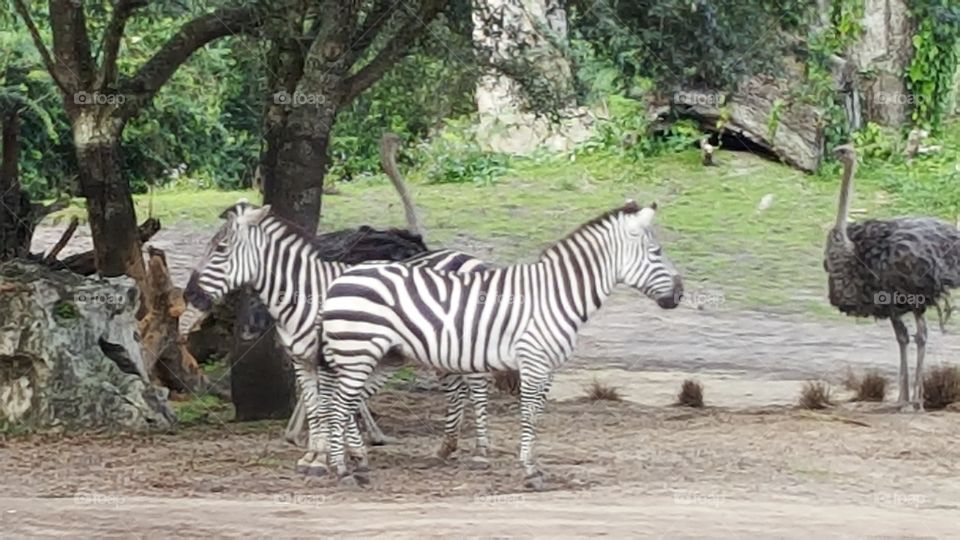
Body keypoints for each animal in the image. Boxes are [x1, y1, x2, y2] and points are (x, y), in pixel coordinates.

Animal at [176, 201, 498, 476]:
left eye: (221, 248)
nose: (189, 295)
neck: (308, 293)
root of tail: (471, 258)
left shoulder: (329, 359)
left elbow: (328, 407)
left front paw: (323, 458)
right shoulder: (303, 361)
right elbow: (316, 406)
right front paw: (318, 456)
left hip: (466, 341)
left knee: (477, 389)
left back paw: (481, 453)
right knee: (456, 389)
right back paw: (446, 448)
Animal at [318, 201, 680, 490]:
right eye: (657, 253)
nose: (680, 295)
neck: (555, 295)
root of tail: (339, 279)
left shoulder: (547, 367)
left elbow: (536, 415)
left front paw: (532, 465)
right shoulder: (533, 361)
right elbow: (528, 415)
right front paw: (530, 471)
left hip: (379, 356)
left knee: (345, 405)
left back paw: (353, 464)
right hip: (359, 354)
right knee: (337, 406)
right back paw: (342, 470)